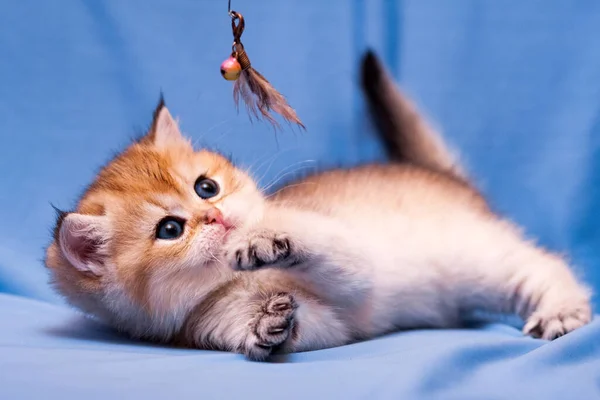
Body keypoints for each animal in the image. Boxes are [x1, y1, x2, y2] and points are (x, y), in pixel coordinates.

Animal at [44, 51, 592, 360]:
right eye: (170, 230)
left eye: (205, 188)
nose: (216, 216)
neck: (231, 283)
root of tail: (443, 177)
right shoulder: (219, 322)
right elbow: (297, 328)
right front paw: (264, 328)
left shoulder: (354, 260)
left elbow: (330, 252)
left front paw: (265, 239)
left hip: (480, 257)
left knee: (545, 265)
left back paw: (562, 311)